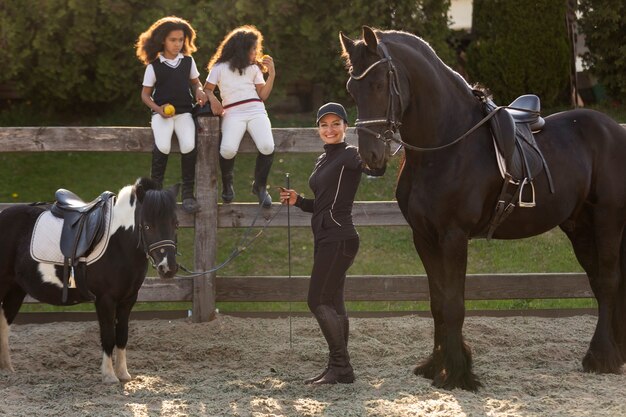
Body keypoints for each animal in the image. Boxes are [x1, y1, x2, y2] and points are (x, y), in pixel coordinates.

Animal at [0, 177, 180, 382]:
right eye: (148, 225)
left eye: (175, 224)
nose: (168, 268)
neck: (119, 243)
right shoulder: (105, 300)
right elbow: (108, 336)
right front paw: (109, 376)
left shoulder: (128, 300)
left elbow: (122, 336)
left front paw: (123, 374)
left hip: (15, 290)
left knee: (4, 325)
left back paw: (7, 369)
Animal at [338, 26, 624, 390]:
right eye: (352, 89)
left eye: (378, 84)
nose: (371, 157)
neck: (447, 145)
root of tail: (614, 129)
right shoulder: (424, 237)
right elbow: (438, 303)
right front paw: (437, 366)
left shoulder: (454, 237)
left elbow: (454, 304)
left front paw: (457, 374)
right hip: (579, 226)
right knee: (600, 281)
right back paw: (614, 352)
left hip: (607, 220)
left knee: (608, 281)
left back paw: (601, 358)